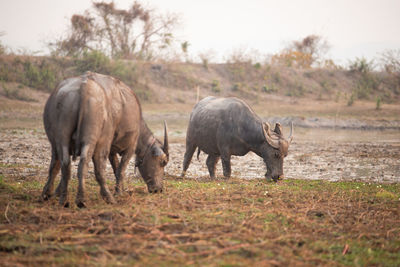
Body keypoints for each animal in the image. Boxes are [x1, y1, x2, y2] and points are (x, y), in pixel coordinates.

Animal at [41, 72, 169, 208]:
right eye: (163, 162)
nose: (158, 189)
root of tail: (84, 86)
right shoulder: (130, 147)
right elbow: (120, 170)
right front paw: (119, 192)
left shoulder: (112, 150)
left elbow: (116, 168)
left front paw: (56, 192)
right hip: (94, 140)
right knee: (89, 165)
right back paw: (89, 199)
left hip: (60, 139)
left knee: (61, 164)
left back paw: (57, 197)